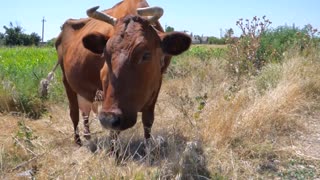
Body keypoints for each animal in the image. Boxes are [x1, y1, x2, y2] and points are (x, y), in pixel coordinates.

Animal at [44, 0, 190, 146]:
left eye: (146, 55)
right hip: (66, 80)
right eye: (105, 53)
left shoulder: (157, 83)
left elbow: (148, 121)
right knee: (74, 113)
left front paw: (147, 147)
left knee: (85, 111)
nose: (108, 118)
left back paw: (88, 136)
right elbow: (114, 132)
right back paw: (78, 141)